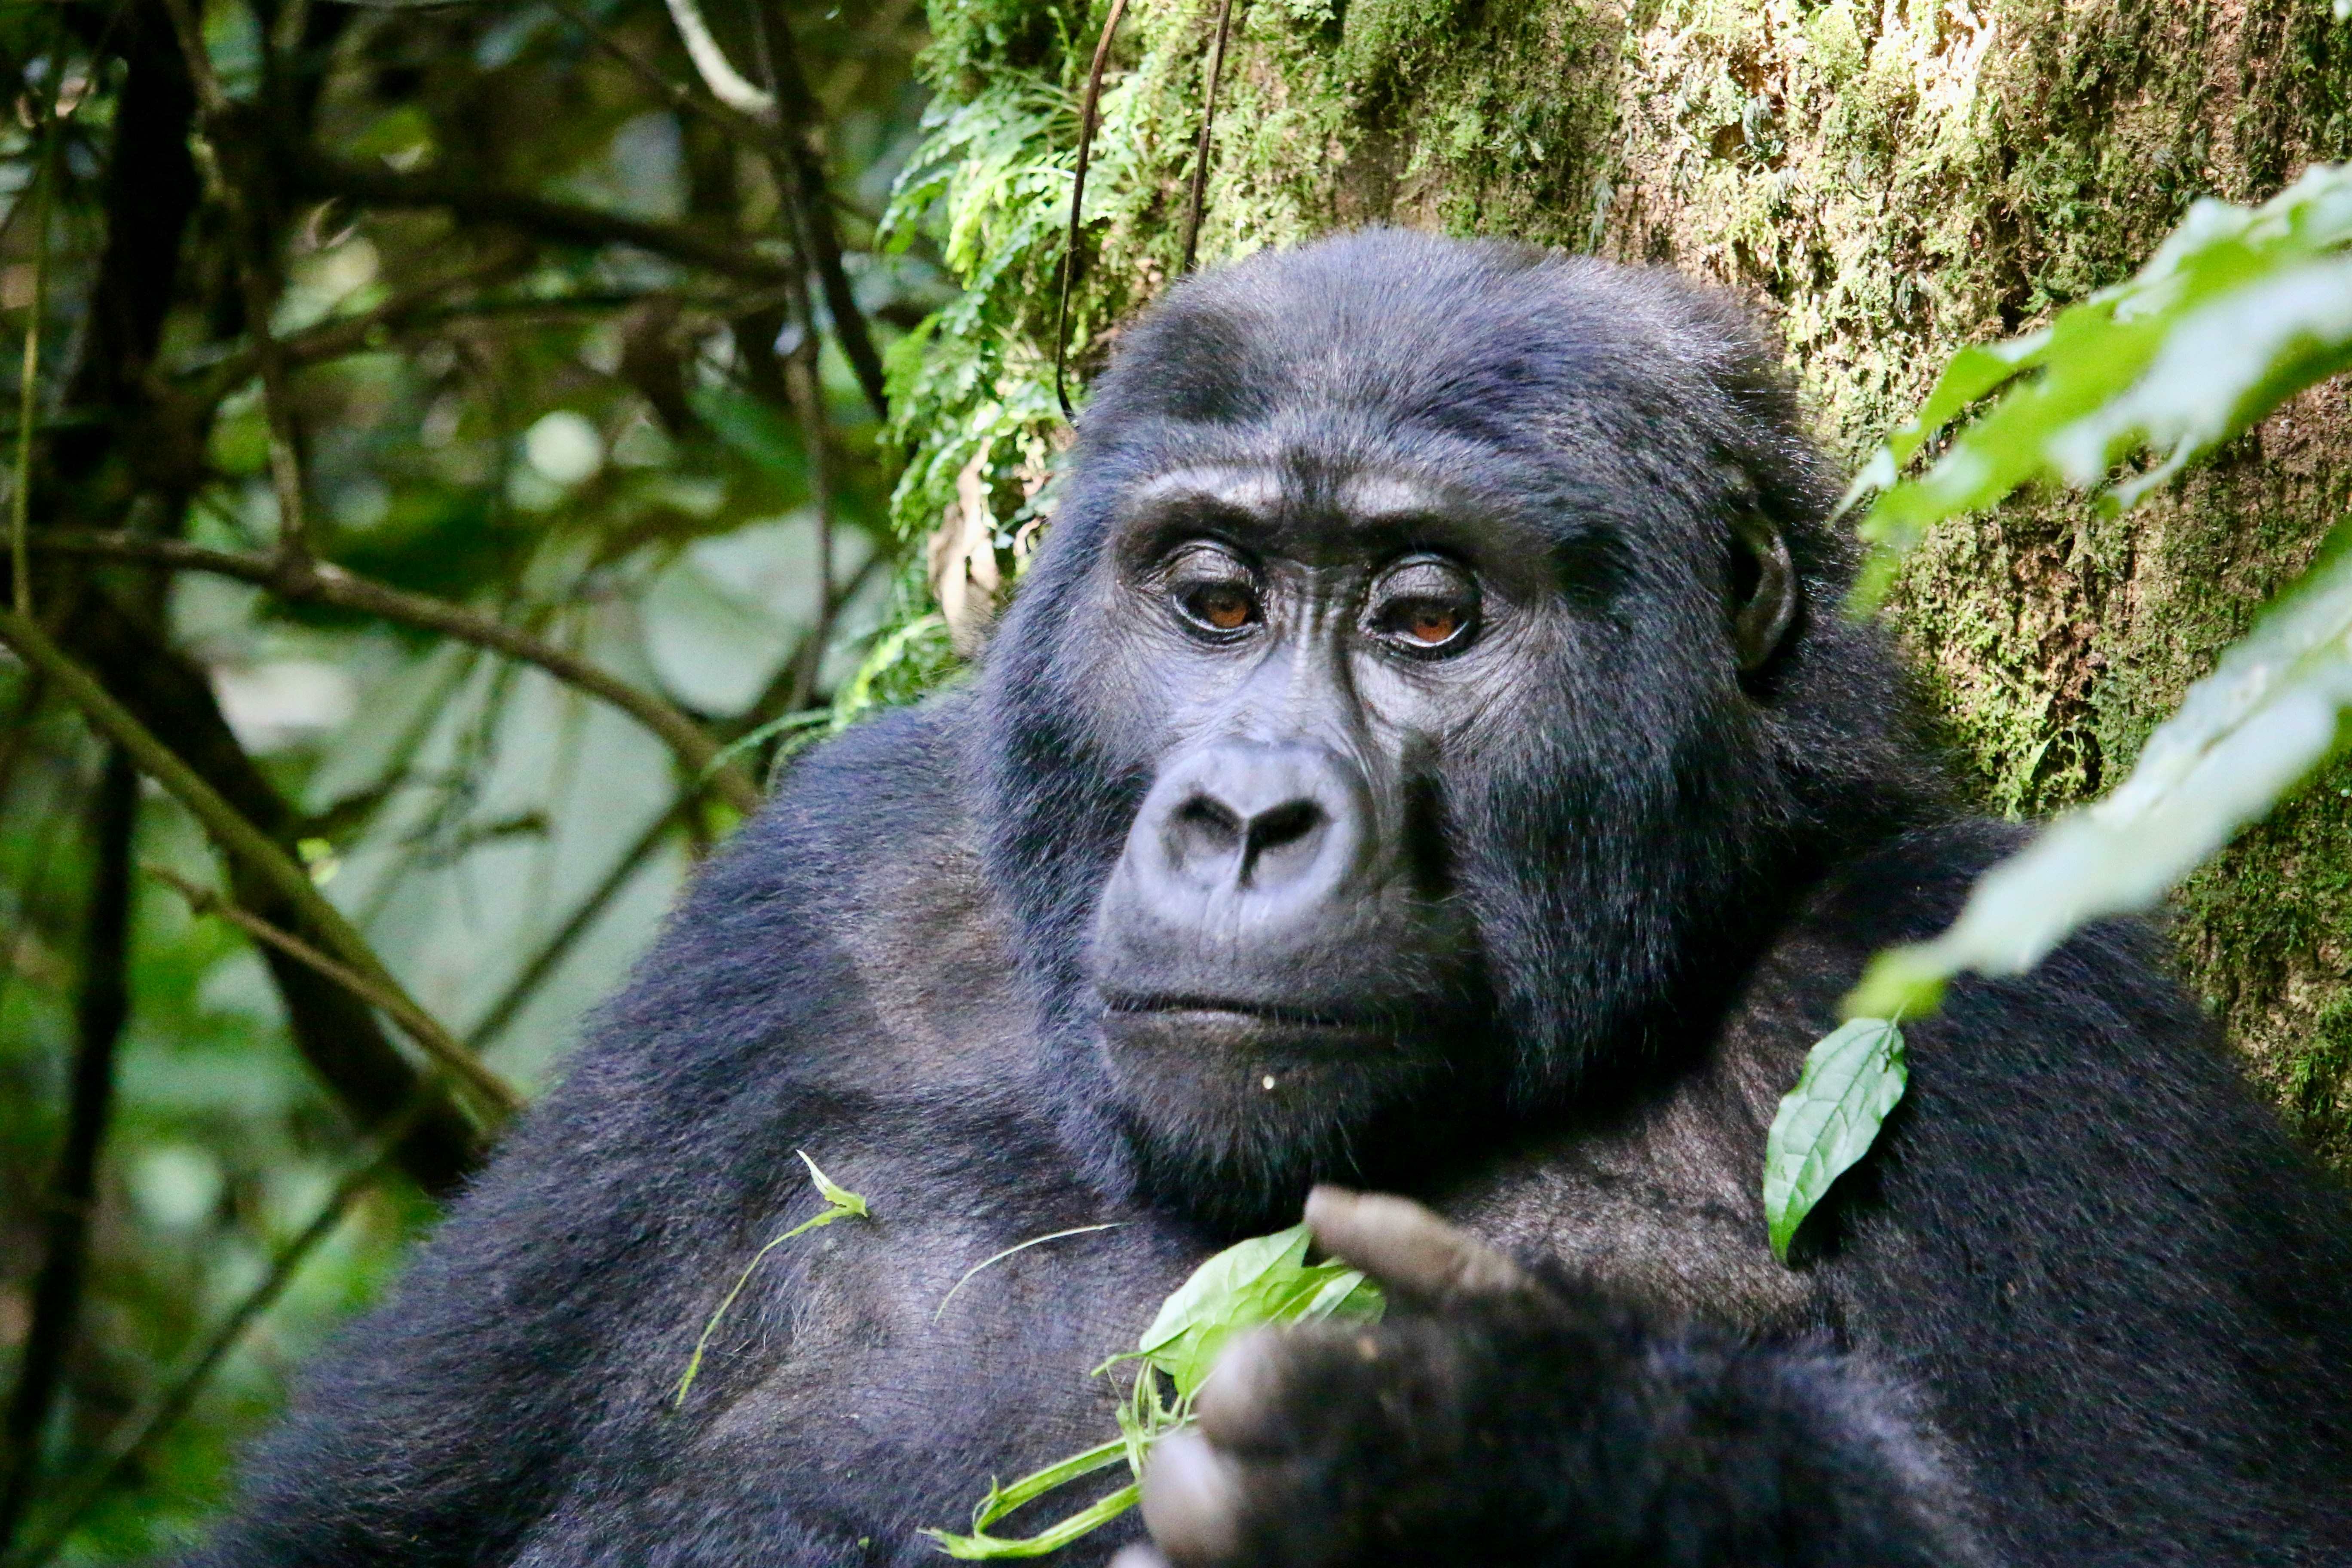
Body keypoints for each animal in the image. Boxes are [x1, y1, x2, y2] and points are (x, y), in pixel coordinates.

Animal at [193, 233, 2352, 1568]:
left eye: (1425, 617)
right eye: (1216, 599)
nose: (1245, 816)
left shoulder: (2016, 991)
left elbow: (2163, 1528)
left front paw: (1503, 1463)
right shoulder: (803, 909)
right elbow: (359, 1529)